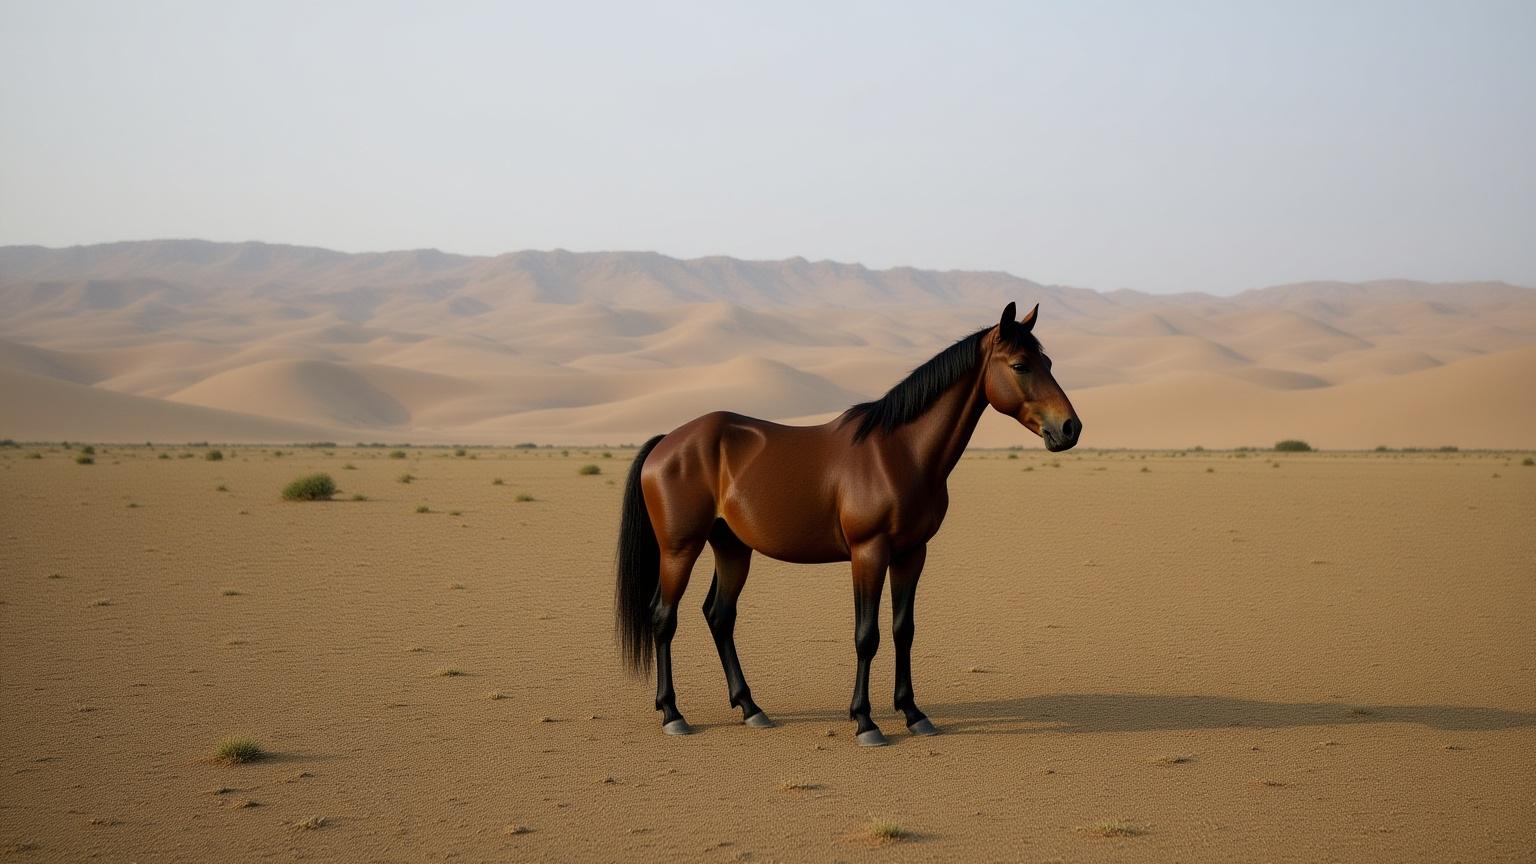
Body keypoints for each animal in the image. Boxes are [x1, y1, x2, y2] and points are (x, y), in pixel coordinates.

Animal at [614, 301, 1081, 746]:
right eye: (1020, 365)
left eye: (1048, 361)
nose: (1070, 428)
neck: (900, 452)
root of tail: (668, 442)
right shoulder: (868, 552)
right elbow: (866, 635)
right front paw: (865, 721)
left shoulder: (912, 554)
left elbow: (903, 630)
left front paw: (913, 714)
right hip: (680, 548)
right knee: (664, 617)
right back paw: (673, 714)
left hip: (732, 547)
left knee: (719, 615)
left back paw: (750, 708)